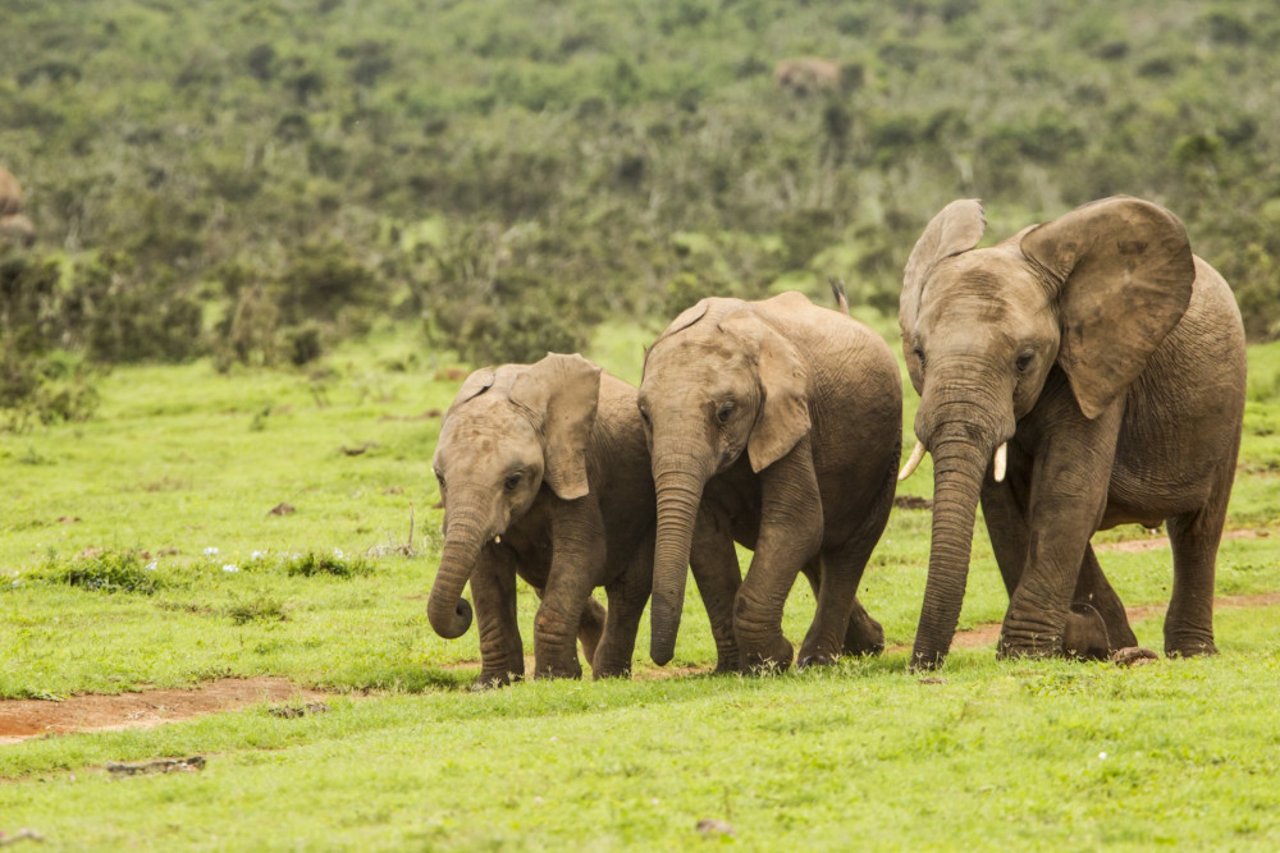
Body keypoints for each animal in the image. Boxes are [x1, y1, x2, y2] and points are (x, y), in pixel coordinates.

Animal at [427, 348, 737, 681]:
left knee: (628, 589)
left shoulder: (580, 466)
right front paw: (493, 683)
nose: (461, 609)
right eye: (440, 479)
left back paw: (607, 674)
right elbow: (488, 572)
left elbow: (582, 554)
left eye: (513, 480)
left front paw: (554, 678)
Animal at [640, 292, 901, 671]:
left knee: (850, 549)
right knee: (816, 551)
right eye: (644, 415)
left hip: (887, 453)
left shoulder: (791, 416)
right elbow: (706, 536)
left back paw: (819, 659)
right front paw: (733, 667)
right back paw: (868, 644)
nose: (662, 658)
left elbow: (796, 520)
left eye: (725, 412)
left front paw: (771, 660)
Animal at [896, 195, 1244, 666]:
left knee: (1199, 527)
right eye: (919, 353)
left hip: (1229, 398)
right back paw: (1117, 642)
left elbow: (1067, 492)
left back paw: (1187, 653)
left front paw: (1026, 653)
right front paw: (1080, 639)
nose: (921, 665)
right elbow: (1005, 504)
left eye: (1024, 359)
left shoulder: (1100, 368)